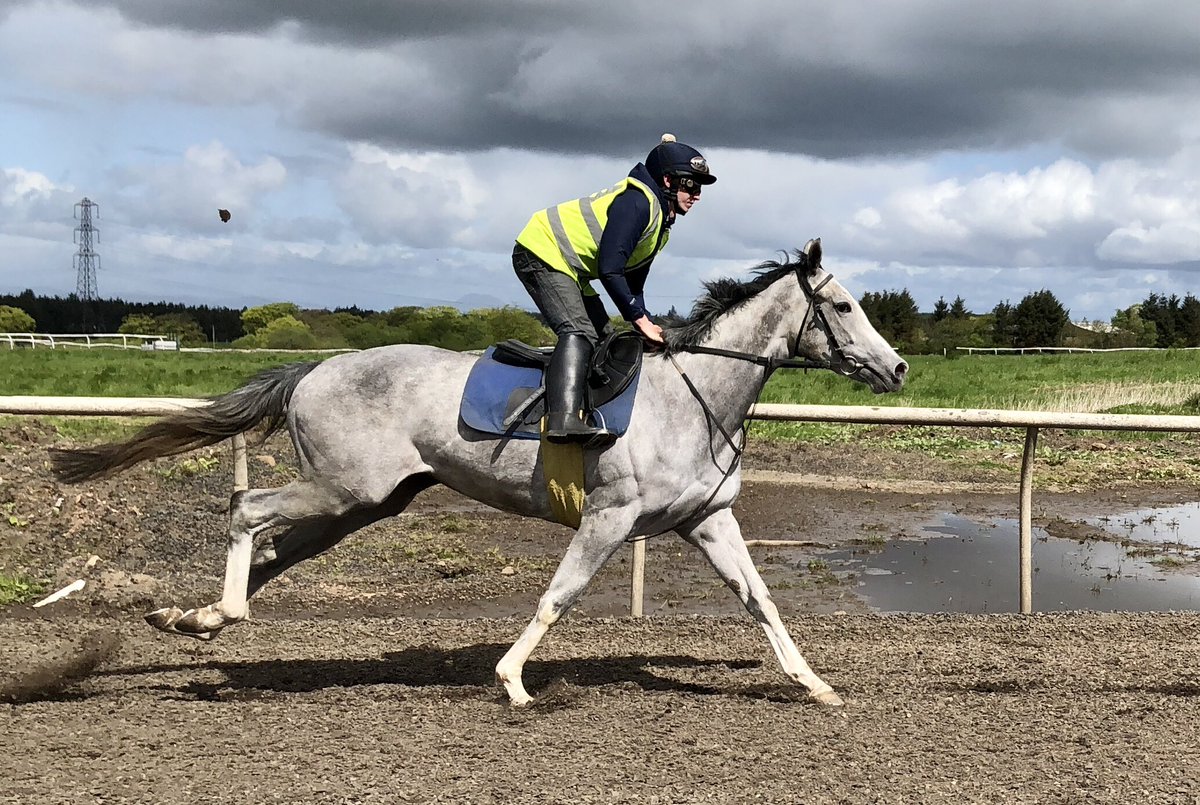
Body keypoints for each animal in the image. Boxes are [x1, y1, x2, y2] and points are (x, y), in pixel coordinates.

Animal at [51, 239, 902, 705]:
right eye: (844, 306)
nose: (895, 367)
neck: (692, 395)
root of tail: (316, 367)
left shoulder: (706, 519)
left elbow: (762, 602)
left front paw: (814, 682)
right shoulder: (610, 516)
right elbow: (558, 596)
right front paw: (514, 680)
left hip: (361, 504)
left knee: (271, 552)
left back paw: (191, 617)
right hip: (344, 488)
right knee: (246, 508)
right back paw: (213, 614)